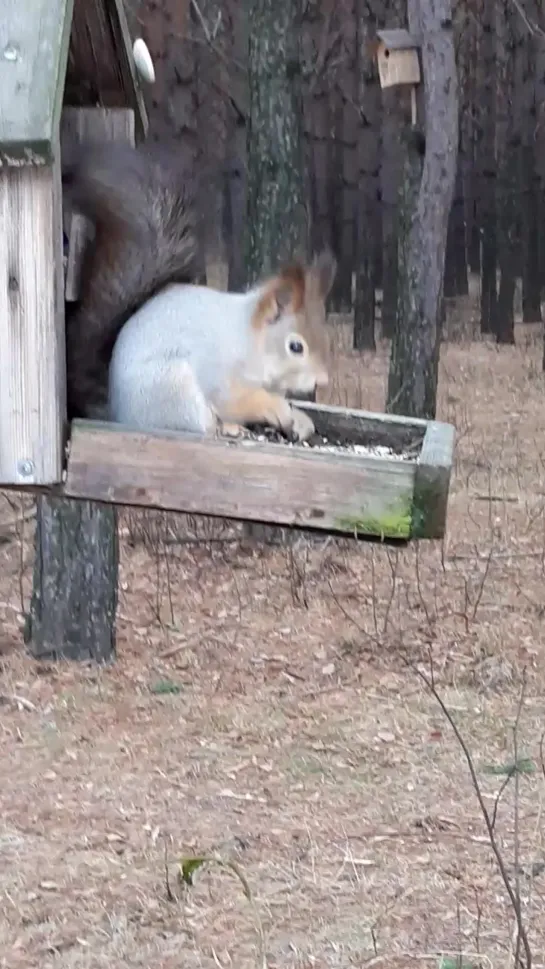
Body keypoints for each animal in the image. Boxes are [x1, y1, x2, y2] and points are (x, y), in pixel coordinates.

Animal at [63, 140, 336, 442]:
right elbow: (236, 400)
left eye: (327, 338)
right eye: (295, 347)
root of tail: (116, 411)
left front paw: (299, 420)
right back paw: (229, 428)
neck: (250, 343)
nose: (322, 379)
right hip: (175, 392)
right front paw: (276, 408)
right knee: (205, 426)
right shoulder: (219, 373)